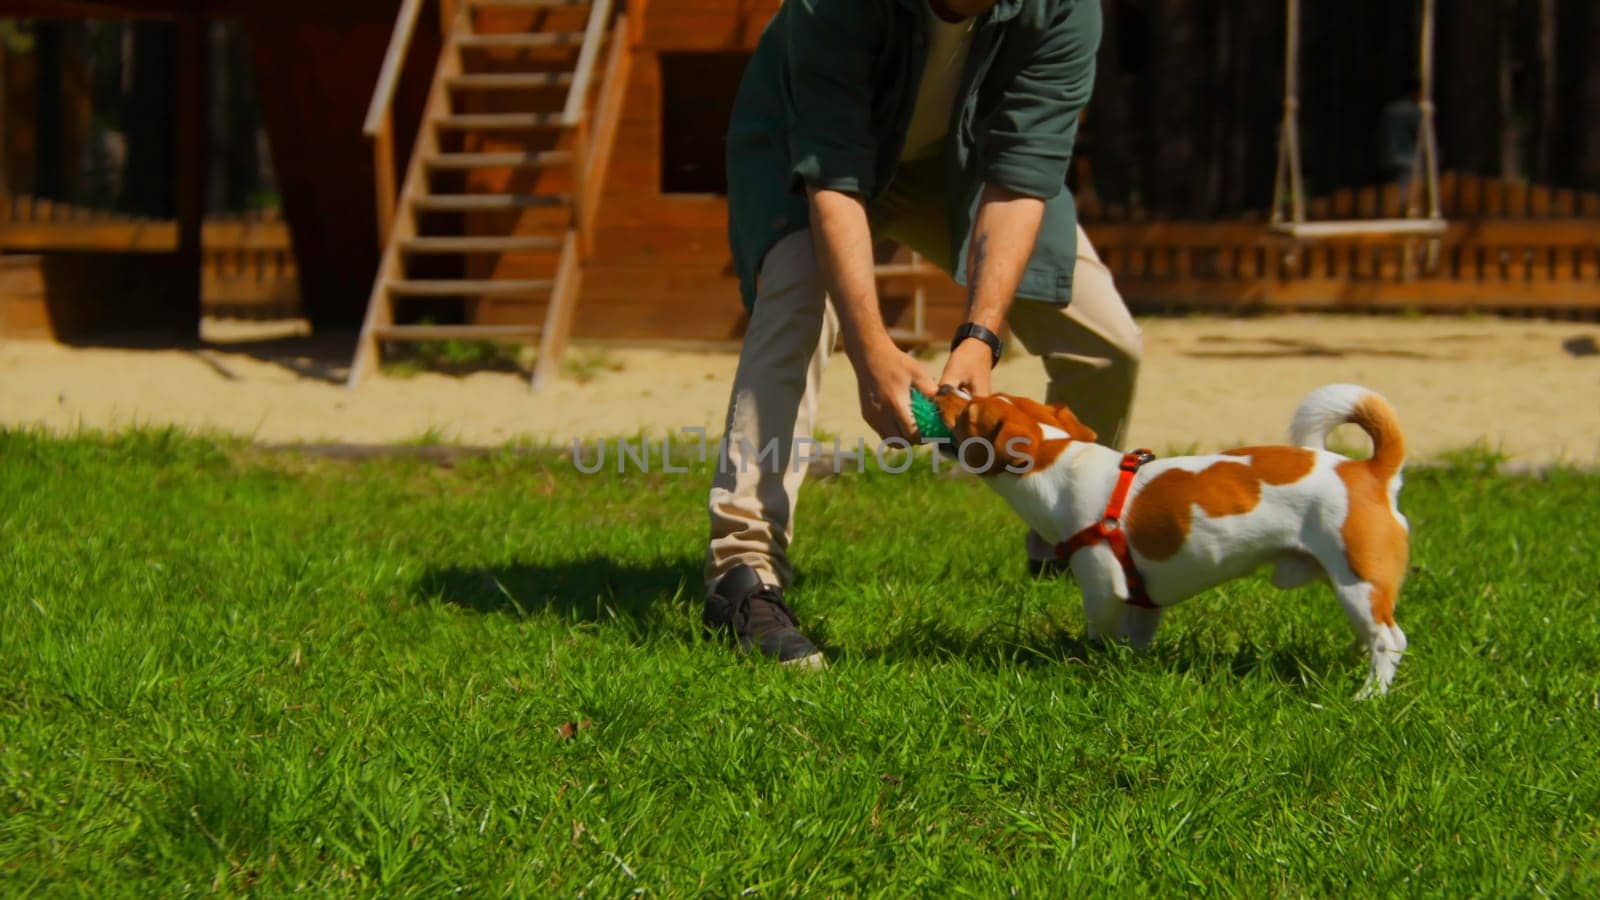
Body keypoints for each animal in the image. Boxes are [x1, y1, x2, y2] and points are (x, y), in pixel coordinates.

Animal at [934, 381, 1414, 698]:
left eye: (969, 413)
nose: (945, 385)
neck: (1056, 464)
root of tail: (1369, 472)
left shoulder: (1102, 586)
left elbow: (1098, 636)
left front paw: (1090, 667)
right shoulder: (1143, 600)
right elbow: (1135, 641)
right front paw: (1130, 669)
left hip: (1358, 580)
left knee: (1390, 639)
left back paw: (1368, 695)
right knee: (1373, 635)